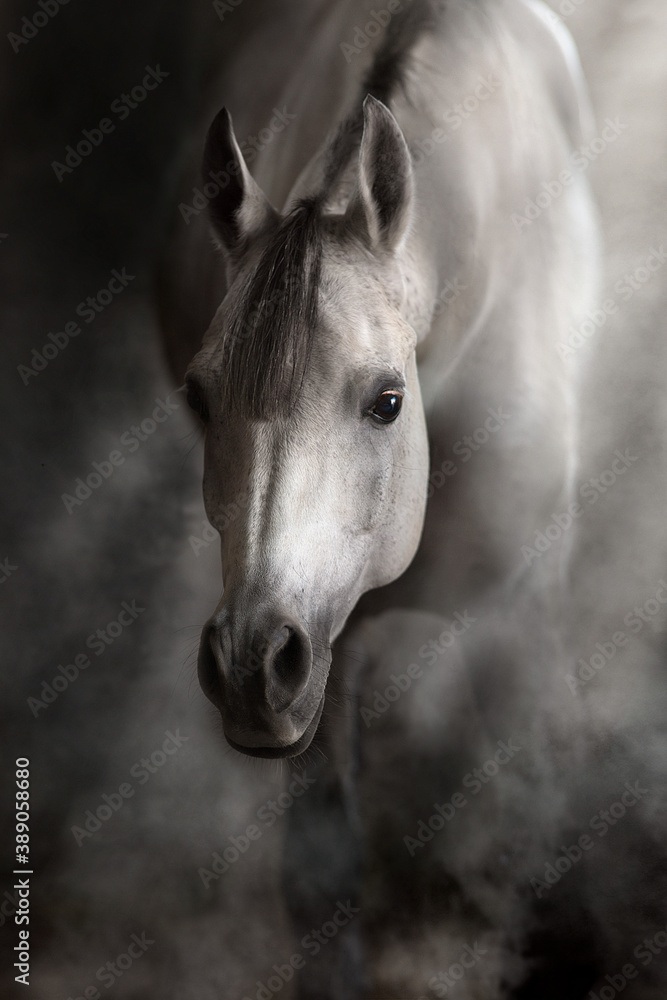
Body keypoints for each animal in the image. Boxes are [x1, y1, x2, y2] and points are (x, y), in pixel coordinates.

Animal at [158, 0, 606, 994]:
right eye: (203, 399)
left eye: (385, 401)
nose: (246, 663)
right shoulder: (329, 640)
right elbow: (320, 880)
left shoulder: (520, 624)